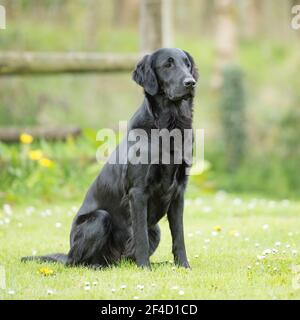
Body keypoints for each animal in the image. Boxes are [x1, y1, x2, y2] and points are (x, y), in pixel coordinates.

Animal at [22, 47, 198, 268]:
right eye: (168, 64)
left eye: (187, 64)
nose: (191, 82)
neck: (169, 127)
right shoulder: (138, 191)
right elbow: (140, 236)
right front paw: (145, 268)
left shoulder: (179, 191)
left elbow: (179, 235)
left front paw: (183, 266)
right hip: (100, 219)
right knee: (78, 262)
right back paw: (98, 265)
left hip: (155, 230)